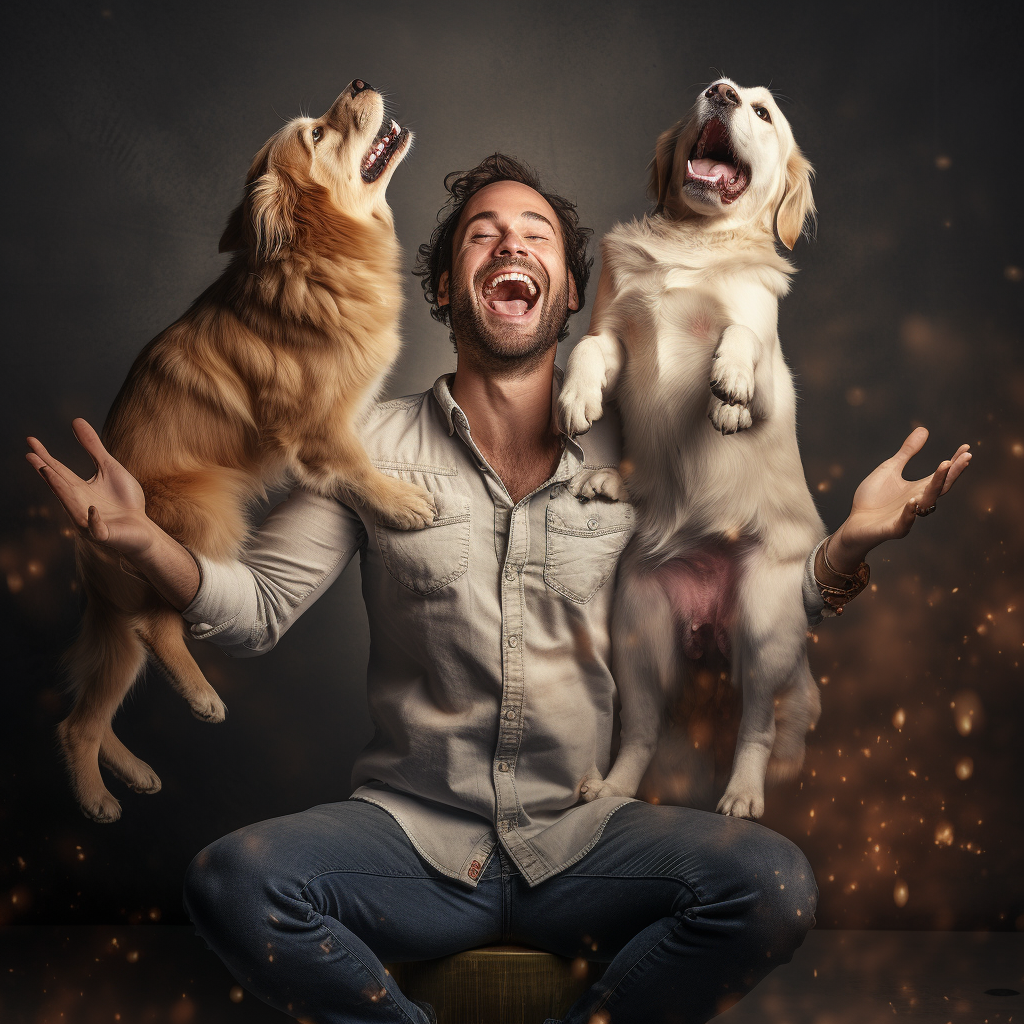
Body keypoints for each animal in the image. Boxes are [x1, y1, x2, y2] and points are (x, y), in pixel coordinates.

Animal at [54, 79, 434, 823]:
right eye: (317, 135)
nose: (356, 82)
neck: (323, 257)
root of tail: (89, 528)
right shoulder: (320, 428)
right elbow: (356, 468)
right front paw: (399, 503)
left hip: (114, 634)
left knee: (78, 720)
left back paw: (111, 786)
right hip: (211, 512)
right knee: (157, 627)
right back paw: (199, 699)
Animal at [561, 75, 823, 819]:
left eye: (763, 112)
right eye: (712, 91)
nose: (724, 93)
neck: (697, 243)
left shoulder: (771, 372)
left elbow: (743, 342)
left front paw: (727, 387)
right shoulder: (615, 332)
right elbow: (589, 351)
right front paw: (577, 397)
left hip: (764, 627)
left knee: (756, 725)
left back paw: (742, 794)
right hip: (640, 628)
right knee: (641, 733)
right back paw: (612, 787)